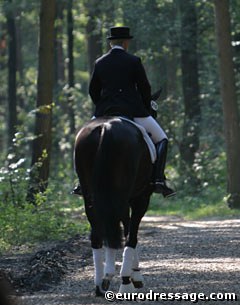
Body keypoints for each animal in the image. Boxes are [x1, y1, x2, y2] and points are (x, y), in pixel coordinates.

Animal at [73, 93, 161, 294]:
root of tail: (106, 128)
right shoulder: (140, 198)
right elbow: (131, 233)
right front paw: (133, 276)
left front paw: (125, 273)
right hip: (123, 195)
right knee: (121, 232)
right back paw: (122, 282)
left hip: (91, 194)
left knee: (99, 232)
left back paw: (100, 282)